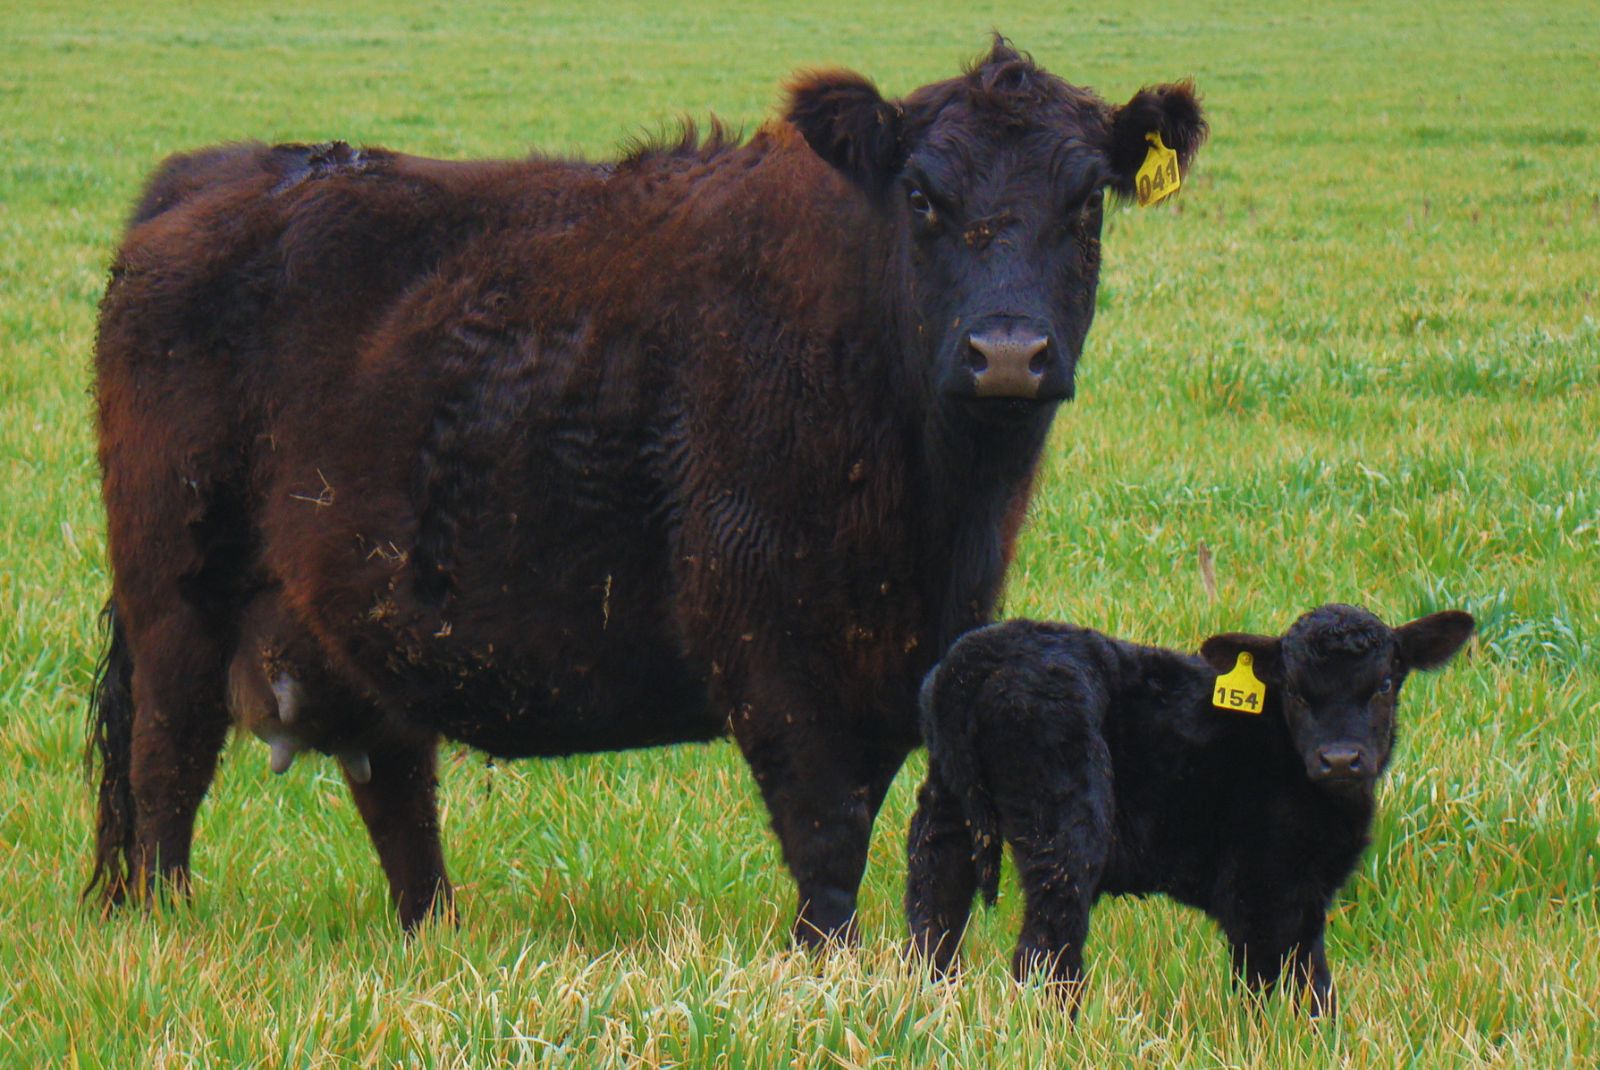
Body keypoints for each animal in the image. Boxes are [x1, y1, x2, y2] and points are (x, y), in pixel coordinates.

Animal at [85, 38, 1207, 943]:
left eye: (1085, 202)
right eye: (924, 197)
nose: (1007, 353)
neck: (935, 510)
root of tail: (219, 171)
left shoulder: (904, 658)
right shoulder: (771, 649)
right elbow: (827, 839)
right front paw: (827, 969)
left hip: (360, 622)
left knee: (396, 785)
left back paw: (434, 932)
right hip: (177, 601)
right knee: (165, 766)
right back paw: (168, 923)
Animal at [906, 604, 1475, 1016]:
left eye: (1384, 684)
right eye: (1294, 690)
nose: (1339, 759)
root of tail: (978, 657)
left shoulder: (1298, 894)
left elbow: (1303, 982)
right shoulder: (1261, 887)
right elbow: (1275, 983)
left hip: (947, 800)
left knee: (934, 905)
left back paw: (931, 1001)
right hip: (1065, 815)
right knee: (1045, 948)